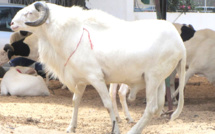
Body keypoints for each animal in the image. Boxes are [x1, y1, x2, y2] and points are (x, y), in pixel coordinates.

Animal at [10, 1, 186, 133]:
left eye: (29, 13)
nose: (11, 23)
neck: (72, 33)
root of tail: (180, 43)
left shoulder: (95, 78)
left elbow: (107, 104)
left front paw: (116, 129)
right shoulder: (81, 80)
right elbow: (75, 101)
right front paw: (71, 127)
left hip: (152, 78)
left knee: (150, 108)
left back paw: (133, 130)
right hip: (159, 81)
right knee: (157, 108)